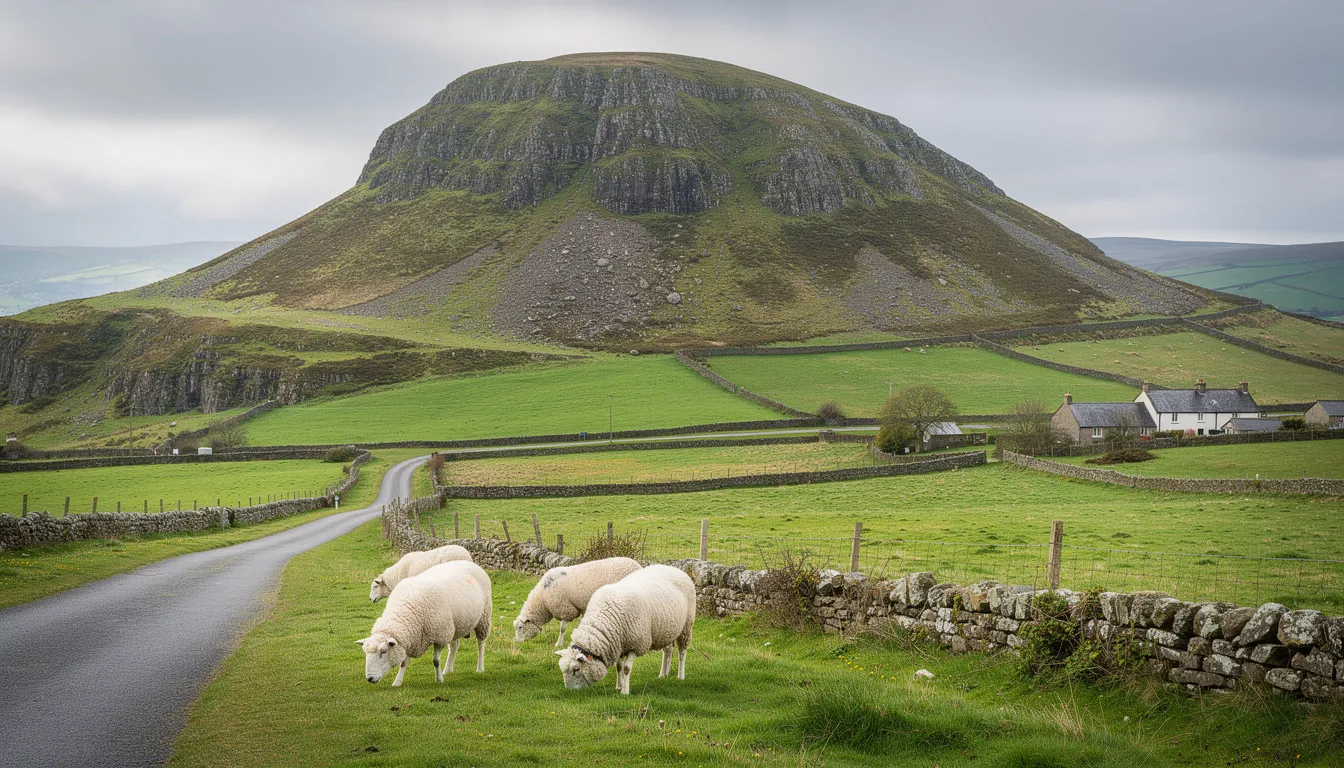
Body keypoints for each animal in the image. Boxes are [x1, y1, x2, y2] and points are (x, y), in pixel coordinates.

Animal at [356, 560, 491, 686]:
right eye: (365, 652)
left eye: (384, 651)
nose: (370, 678)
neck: (406, 608)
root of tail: (469, 562)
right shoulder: (409, 639)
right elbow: (403, 663)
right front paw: (397, 682)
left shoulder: (439, 637)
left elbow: (436, 661)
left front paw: (439, 679)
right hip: (456, 625)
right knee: (454, 646)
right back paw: (447, 670)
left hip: (484, 618)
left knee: (480, 643)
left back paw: (480, 668)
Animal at [513, 556, 642, 647]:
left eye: (520, 627)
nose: (518, 642)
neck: (542, 599)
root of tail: (638, 566)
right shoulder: (581, 607)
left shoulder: (565, 609)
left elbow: (562, 628)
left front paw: (559, 644)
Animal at [555, 564, 695, 695]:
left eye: (576, 669)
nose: (570, 691)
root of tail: (673, 567)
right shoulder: (617, 644)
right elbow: (619, 666)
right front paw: (619, 686)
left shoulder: (636, 645)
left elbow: (626, 668)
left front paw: (625, 691)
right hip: (667, 630)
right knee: (668, 650)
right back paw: (663, 674)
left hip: (686, 625)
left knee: (682, 652)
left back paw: (680, 676)